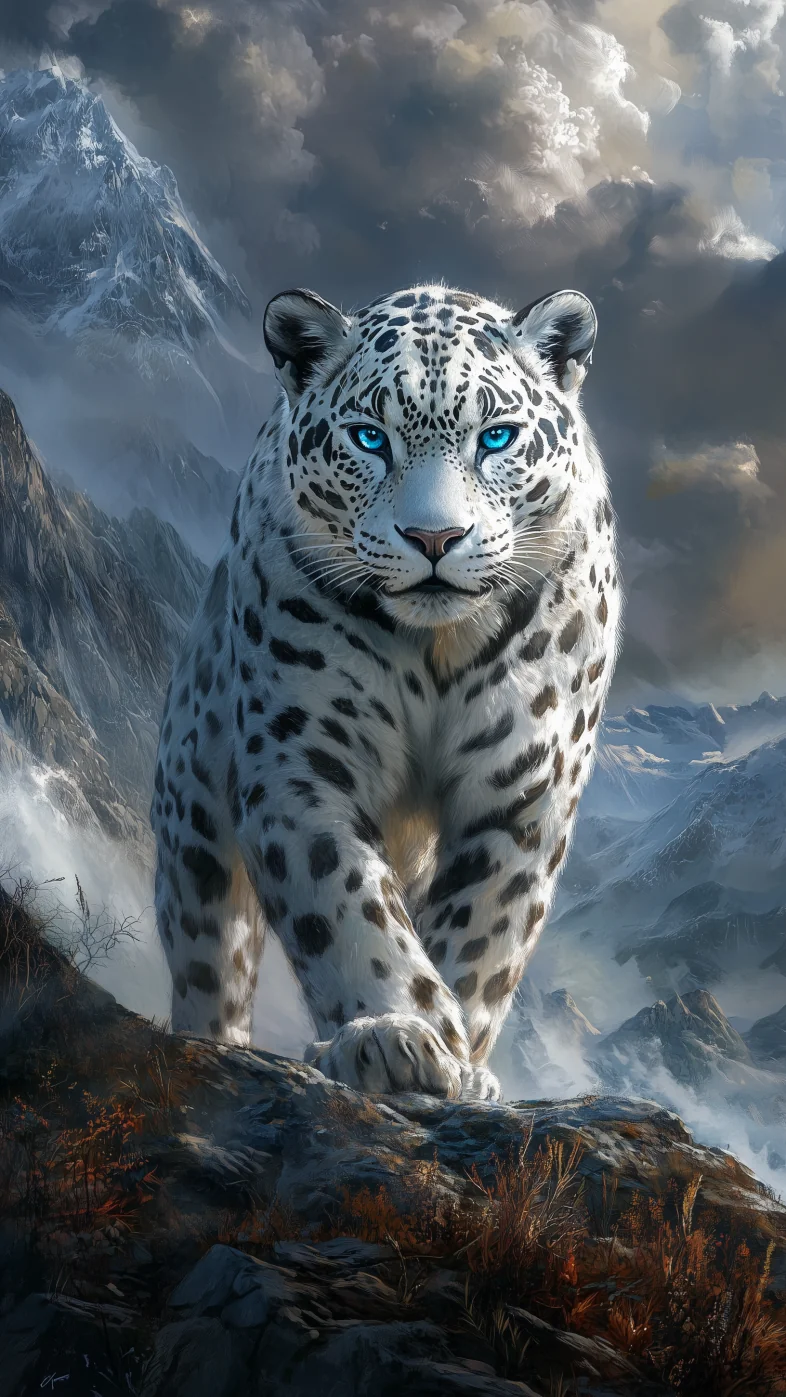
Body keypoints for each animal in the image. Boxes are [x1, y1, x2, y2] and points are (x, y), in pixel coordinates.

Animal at [150, 280, 621, 1102]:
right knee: (212, 966)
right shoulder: (302, 768)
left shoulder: (522, 793)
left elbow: (483, 931)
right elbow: (348, 908)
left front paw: (462, 1066)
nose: (435, 538)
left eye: (497, 436)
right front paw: (396, 1037)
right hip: (193, 825)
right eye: (370, 438)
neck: (437, 650)